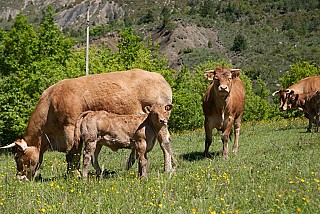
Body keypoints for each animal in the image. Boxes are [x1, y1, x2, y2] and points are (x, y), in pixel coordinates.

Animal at [0, 68, 176, 181]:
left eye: (17, 157)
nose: (19, 178)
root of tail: (159, 77)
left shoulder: (70, 127)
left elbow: (73, 153)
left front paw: (74, 174)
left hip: (161, 122)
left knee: (165, 143)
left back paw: (168, 168)